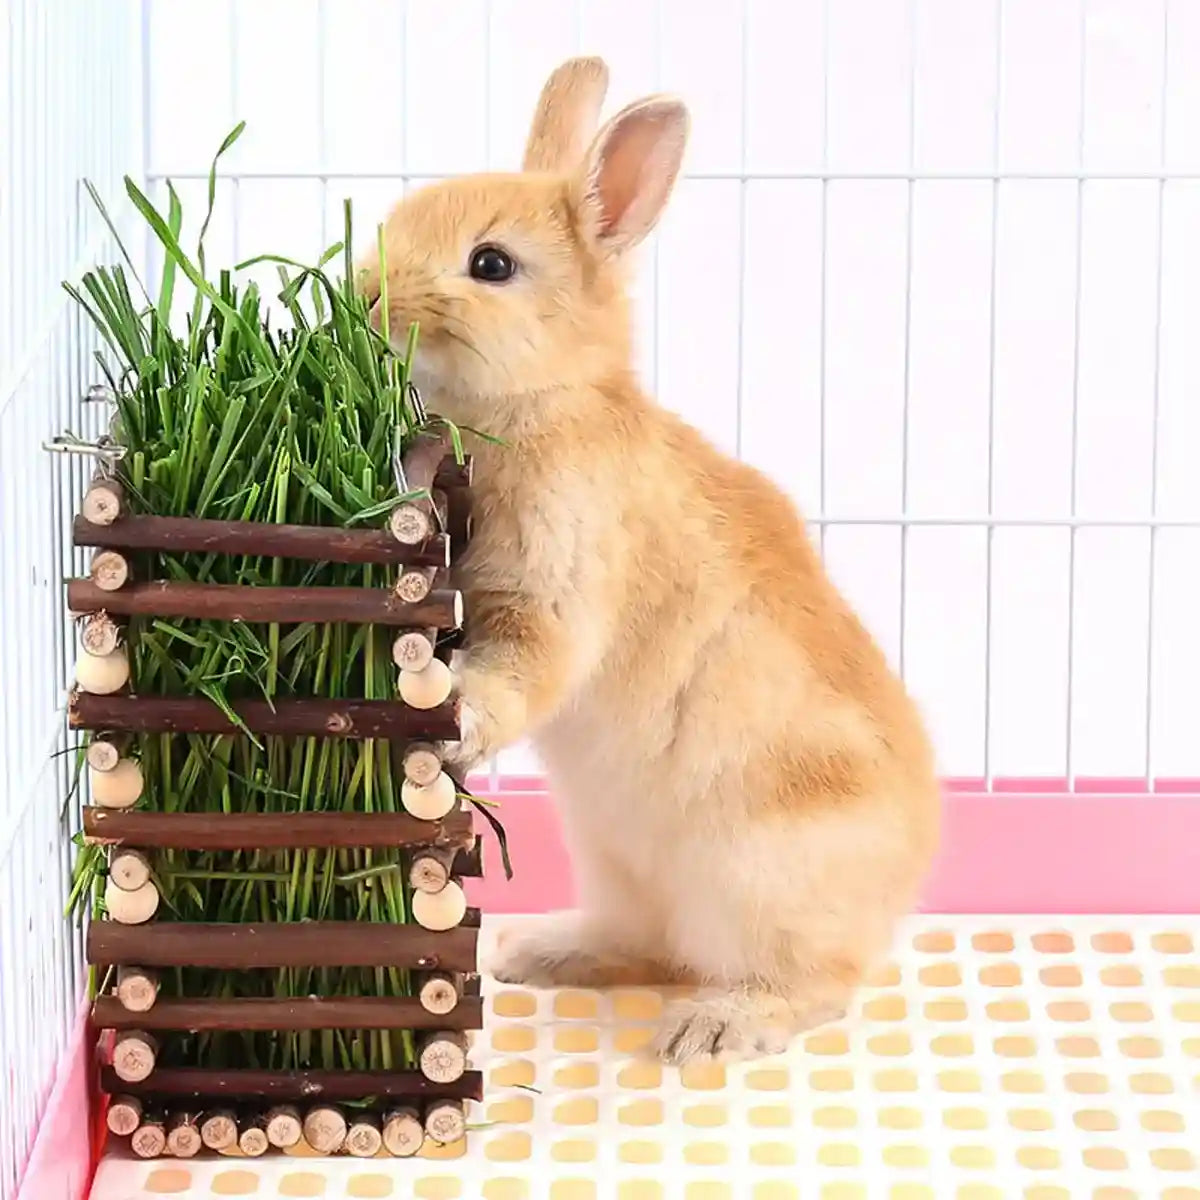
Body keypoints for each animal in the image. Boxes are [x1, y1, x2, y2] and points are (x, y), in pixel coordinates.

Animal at [355, 57, 941, 1064]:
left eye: (491, 264)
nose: (365, 296)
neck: (548, 402)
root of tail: (900, 887)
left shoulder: (556, 588)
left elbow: (522, 669)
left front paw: (459, 725)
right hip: (615, 860)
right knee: (647, 942)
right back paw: (536, 951)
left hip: (761, 879)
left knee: (814, 984)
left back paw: (712, 1026)